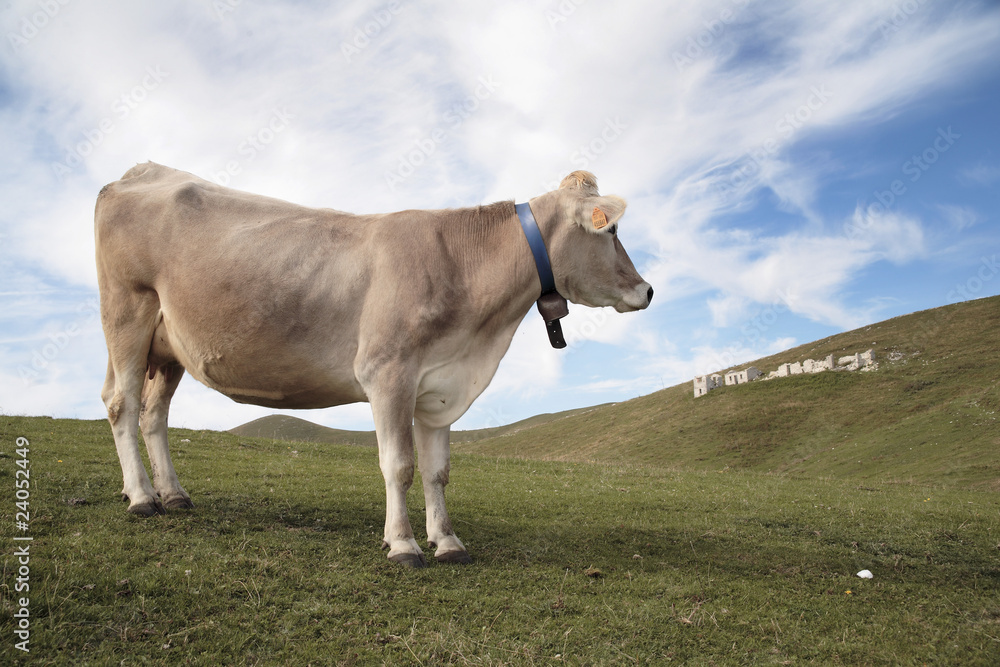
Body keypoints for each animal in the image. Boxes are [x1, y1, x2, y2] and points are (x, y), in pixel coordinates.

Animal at [95, 162, 653, 567]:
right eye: (611, 230)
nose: (647, 290)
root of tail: (140, 171)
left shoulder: (439, 384)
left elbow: (438, 471)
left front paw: (447, 541)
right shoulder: (388, 373)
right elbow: (399, 464)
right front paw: (403, 544)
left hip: (168, 347)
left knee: (153, 414)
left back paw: (171, 495)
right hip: (128, 313)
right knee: (122, 403)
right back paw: (141, 497)